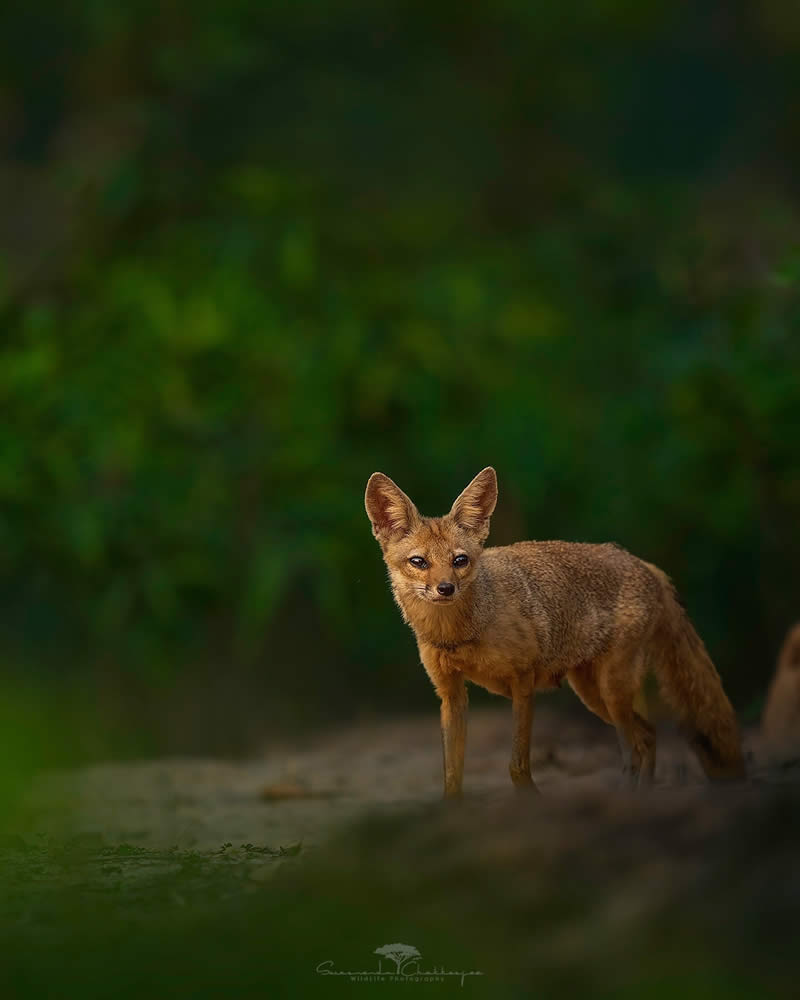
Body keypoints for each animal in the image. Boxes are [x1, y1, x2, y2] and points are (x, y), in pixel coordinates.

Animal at [366, 466, 748, 796]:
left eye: (460, 561)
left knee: (637, 745)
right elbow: (452, 776)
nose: (445, 589)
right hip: (594, 694)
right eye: (419, 562)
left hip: (610, 692)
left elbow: (517, 766)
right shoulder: (451, 695)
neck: (461, 634)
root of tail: (643, 564)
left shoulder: (522, 683)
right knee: (649, 735)